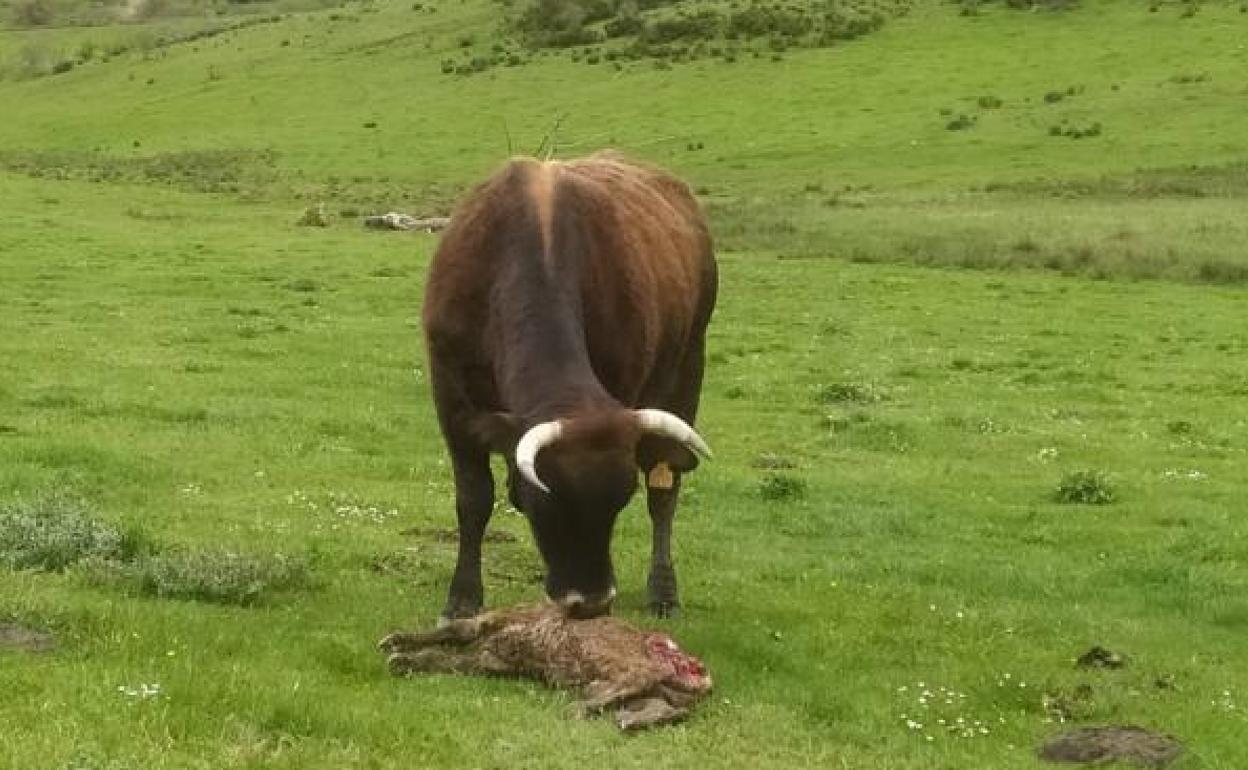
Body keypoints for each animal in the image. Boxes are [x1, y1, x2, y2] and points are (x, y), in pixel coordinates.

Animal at [426, 152, 718, 621]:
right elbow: (474, 499)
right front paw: (462, 601)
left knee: (665, 484)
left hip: (688, 366)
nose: (591, 602)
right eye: (547, 501)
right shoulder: (451, 400)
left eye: (619, 501)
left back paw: (663, 590)